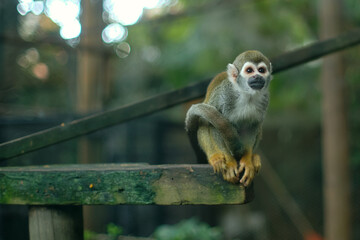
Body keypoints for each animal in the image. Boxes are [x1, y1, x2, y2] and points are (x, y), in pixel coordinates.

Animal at [186, 50, 272, 186]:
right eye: (249, 71)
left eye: (261, 70)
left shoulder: (265, 100)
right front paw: (230, 162)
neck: (246, 94)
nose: (258, 77)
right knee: (204, 120)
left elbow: (253, 126)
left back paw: (254, 157)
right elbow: (214, 124)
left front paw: (247, 160)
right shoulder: (224, 96)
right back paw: (215, 157)